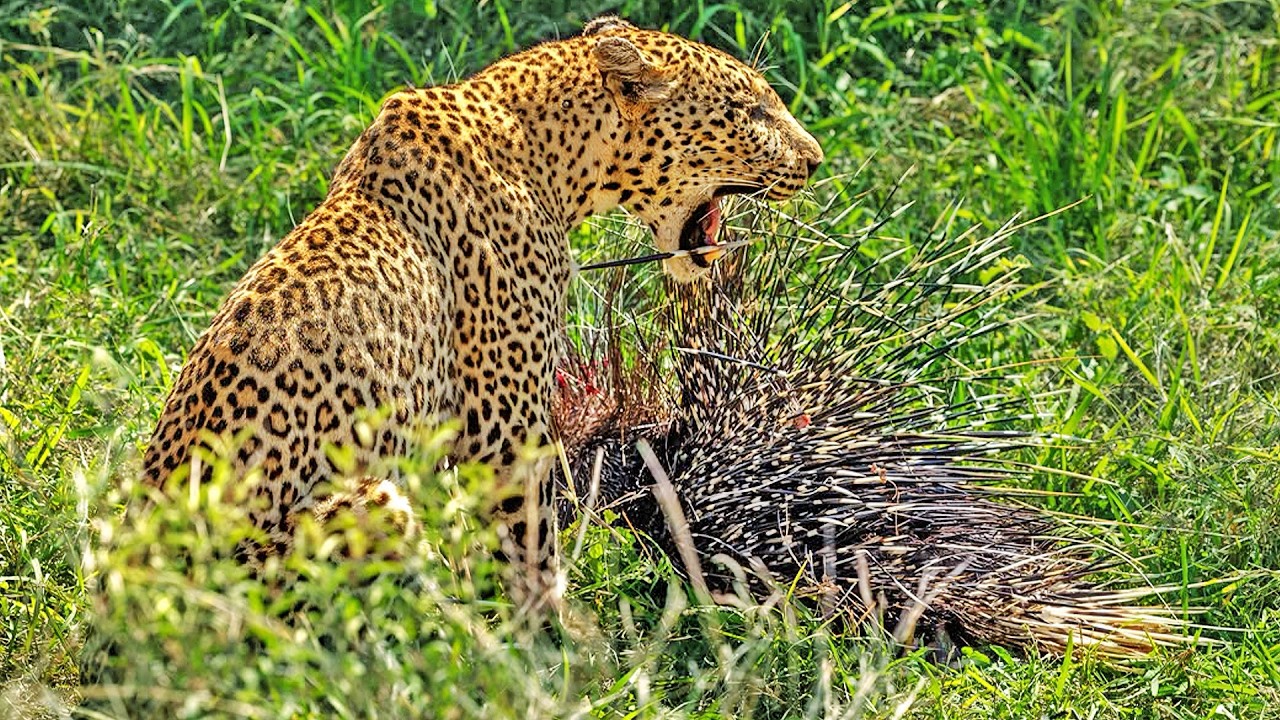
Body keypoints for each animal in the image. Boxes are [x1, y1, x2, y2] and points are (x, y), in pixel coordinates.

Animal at [140, 15, 823, 606]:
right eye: (755, 111)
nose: (816, 160)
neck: (551, 155)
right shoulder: (505, 432)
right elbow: (531, 553)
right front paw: (557, 650)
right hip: (363, 510)